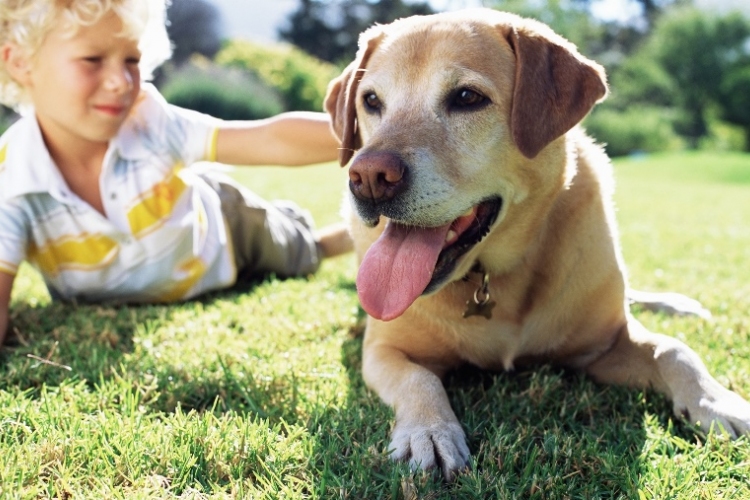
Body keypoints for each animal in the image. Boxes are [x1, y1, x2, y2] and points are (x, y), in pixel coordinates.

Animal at [324, 8, 750, 480]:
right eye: (371, 101)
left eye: (467, 97)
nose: (368, 178)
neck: (493, 276)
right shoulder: (383, 350)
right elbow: (419, 379)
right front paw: (429, 431)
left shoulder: (606, 346)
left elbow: (674, 350)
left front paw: (717, 402)